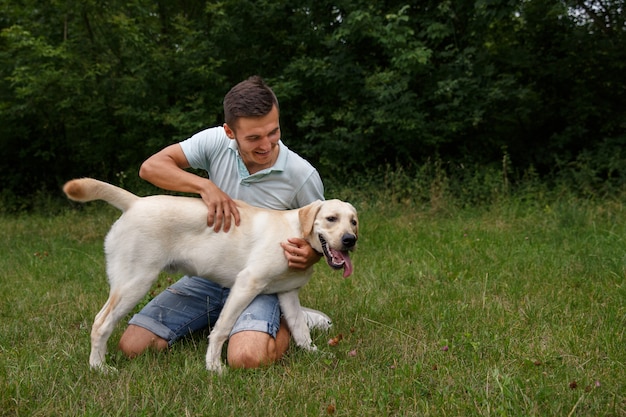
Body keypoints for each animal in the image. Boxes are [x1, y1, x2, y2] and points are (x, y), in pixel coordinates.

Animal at [63, 177, 358, 372]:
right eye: (331, 219)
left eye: (353, 221)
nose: (350, 240)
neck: (296, 232)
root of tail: (135, 202)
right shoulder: (246, 284)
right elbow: (221, 330)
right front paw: (214, 367)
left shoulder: (287, 294)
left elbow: (300, 330)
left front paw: (314, 354)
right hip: (134, 283)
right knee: (101, 323)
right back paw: (99, 368)